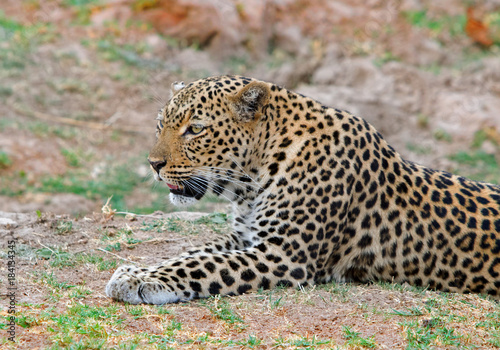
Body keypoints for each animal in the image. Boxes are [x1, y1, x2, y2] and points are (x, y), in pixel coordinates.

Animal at [105, 74, 500, 304]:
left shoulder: (285, 255)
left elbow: (202, 264)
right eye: (161, 124)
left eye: (196, 129)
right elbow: (191, 253)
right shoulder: (244, 236)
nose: (154, 164)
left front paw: (142, 281)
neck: (251, 180)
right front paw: (136, 272)